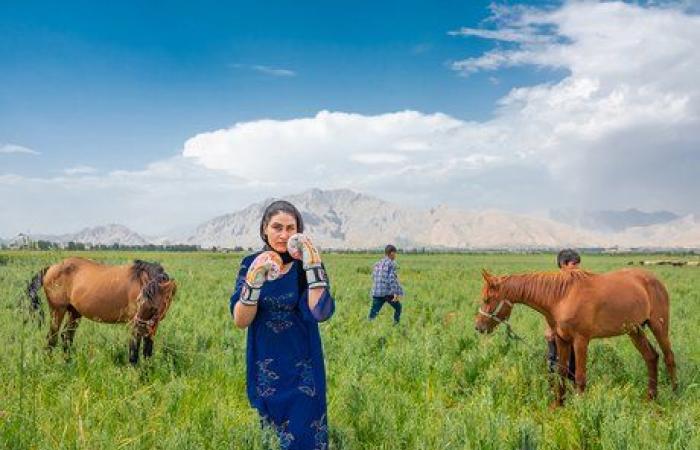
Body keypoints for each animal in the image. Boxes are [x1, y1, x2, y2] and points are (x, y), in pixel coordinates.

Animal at [27, 258, 176, 364]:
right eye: (139, 300)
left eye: (154, 307)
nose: (139, 324)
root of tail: (51, 267)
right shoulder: (134, 326)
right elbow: (134, 353)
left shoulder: (152, 327)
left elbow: (147, 353)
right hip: (58, 310)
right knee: (52, 338)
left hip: (74, 312)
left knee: (67, 337)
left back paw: (68, 363)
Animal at [474, 268, 676, 406]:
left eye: (486, 299)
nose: (478, 327)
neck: (561, 296)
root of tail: (655, 280)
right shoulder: (562, 340)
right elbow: (561, 372)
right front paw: (558, 405)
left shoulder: (581, 341)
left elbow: (579, 376)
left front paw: (581, 409)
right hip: (635, 330)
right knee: (651, 357)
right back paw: (651, 397)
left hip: (658, 326)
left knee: (669, 357)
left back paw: (675, 393)